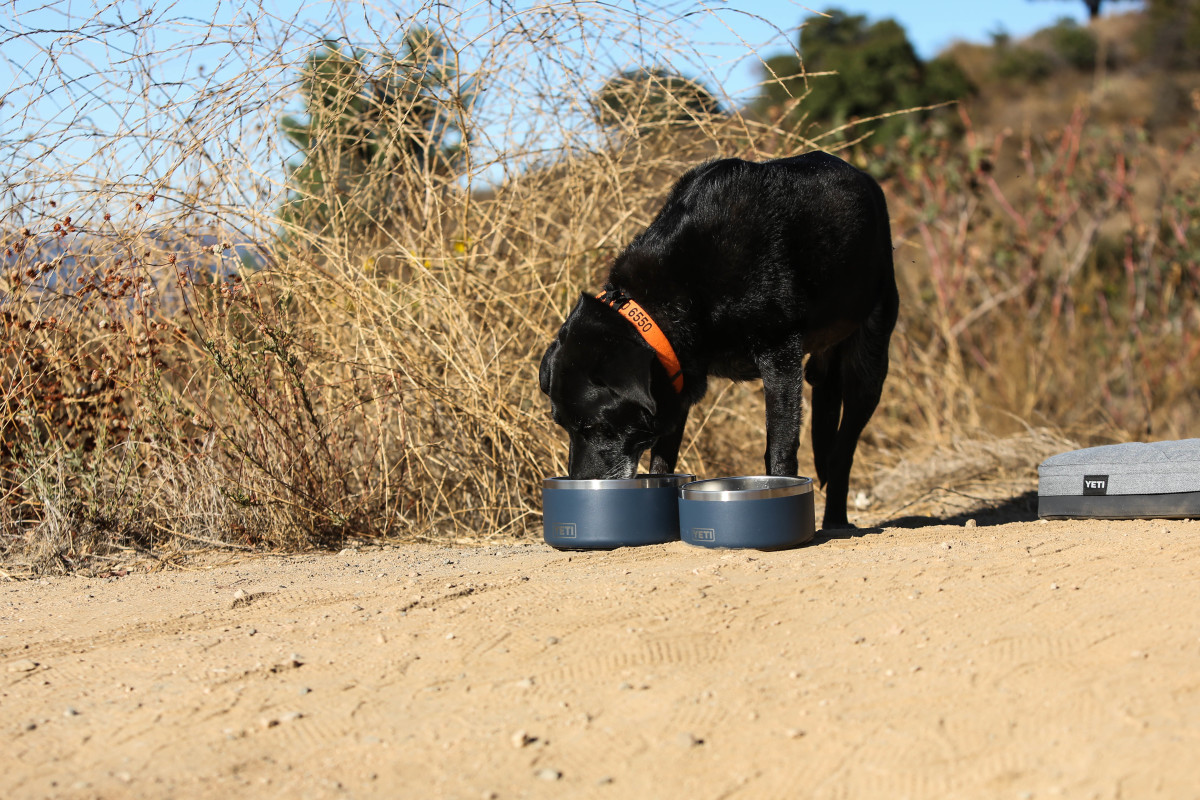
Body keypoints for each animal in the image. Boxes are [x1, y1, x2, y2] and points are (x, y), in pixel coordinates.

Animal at [540, 152, 897, 527]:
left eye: (592, 426)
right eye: (563, 425)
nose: (580, 486)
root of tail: (863, 177)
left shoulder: (780, 355)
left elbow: (781, 449)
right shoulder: (676, 381)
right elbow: (661, 461)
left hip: (869, 362)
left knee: (844, 448)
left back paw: (836, 522)